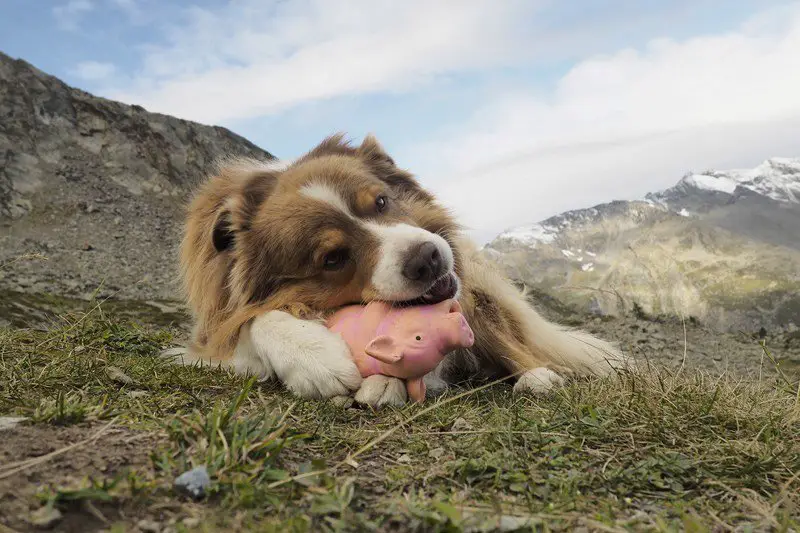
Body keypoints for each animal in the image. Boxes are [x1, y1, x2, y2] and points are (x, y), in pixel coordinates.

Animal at [172, 134, 628, 408]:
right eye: (332, 258)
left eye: (381, 201)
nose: (428, 258)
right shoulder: (211, 329)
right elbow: (251, 321)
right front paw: (314, 358)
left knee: (511, 344)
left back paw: (537, 377)